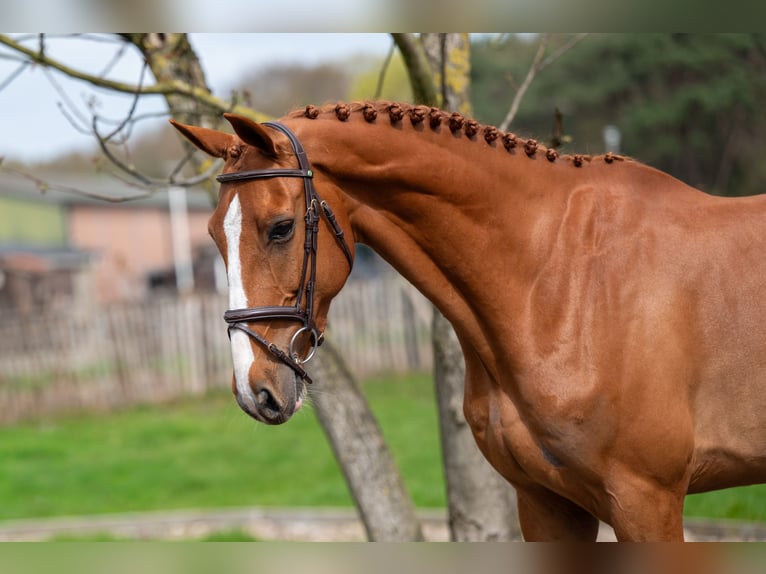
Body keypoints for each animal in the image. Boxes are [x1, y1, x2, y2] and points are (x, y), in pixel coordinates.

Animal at [171, 100, 766, 541]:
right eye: (212, 234)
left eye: (281, 227)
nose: (255, 390)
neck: (557, 279)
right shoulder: (546, 505)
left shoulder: (647, 501)